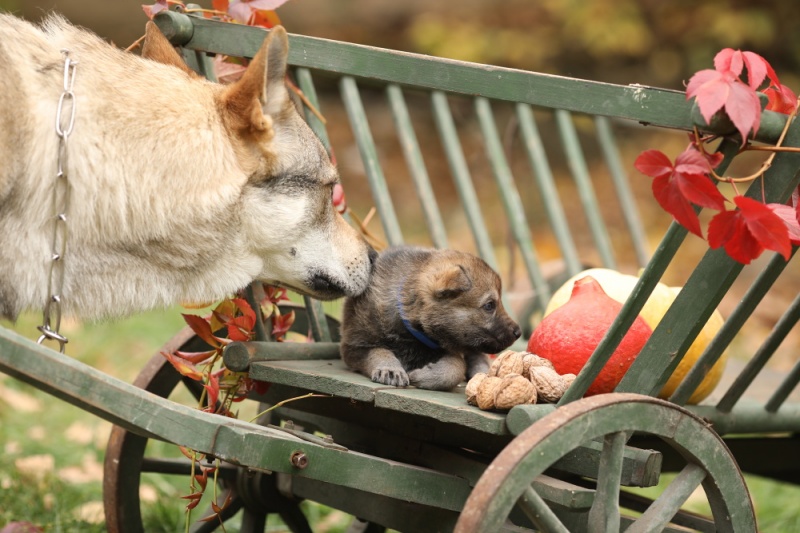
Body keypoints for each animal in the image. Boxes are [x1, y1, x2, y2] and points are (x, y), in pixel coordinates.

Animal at [340, 246, 520, 390]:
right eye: (489, 305)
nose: (518, 332)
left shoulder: (447, 350)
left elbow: (456, 366)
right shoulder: (355, 346)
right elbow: (379, 351)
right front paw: (391, 369)